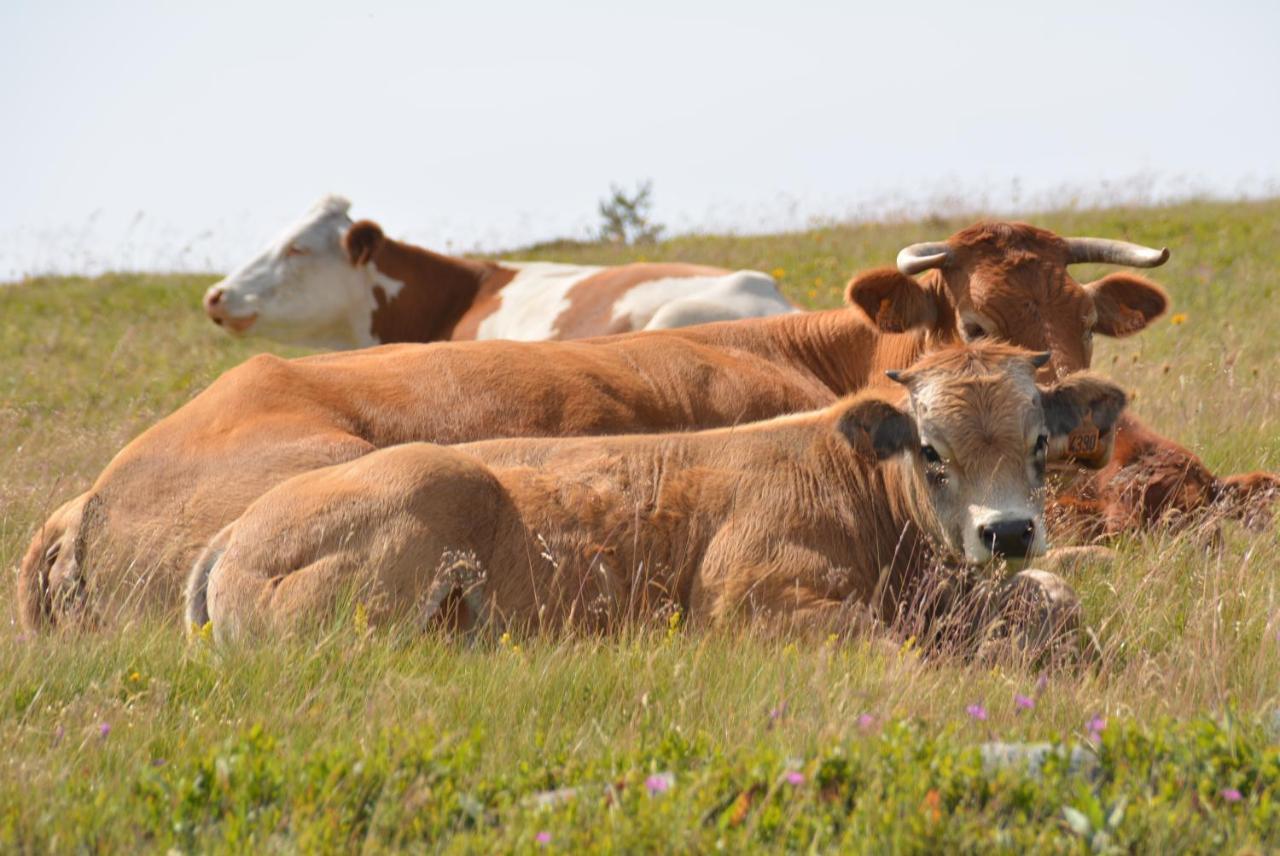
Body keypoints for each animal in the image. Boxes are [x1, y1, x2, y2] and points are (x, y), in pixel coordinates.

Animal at [183, 340, 1131, 639]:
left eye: (1040, 443)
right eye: (931, 452)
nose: (1006, 531)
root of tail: (237, 531)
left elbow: (1055, 596)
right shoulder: (749, 595)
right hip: (425, 495)